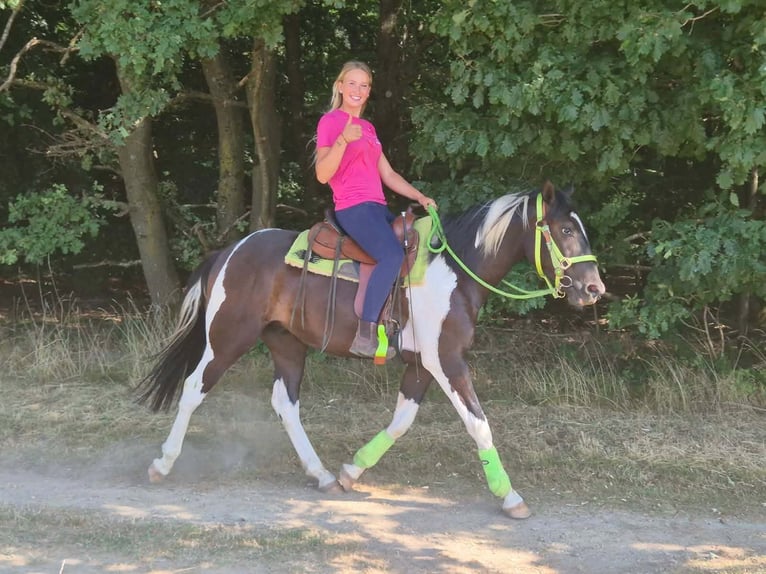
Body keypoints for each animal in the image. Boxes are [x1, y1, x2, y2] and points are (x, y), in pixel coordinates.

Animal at [137, 180, 605, 520]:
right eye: (565, 230)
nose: (594, 288)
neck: (455, 270)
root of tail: (228, 252)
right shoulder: (447, 361)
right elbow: (479, 425)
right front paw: (509, 497)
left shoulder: (421, 365)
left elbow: (401, 422)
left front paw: (352, 470)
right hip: (228, 337)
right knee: (194, 388)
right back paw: (162, 464)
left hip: (287, 343)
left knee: (285, 403)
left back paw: (322, 474)